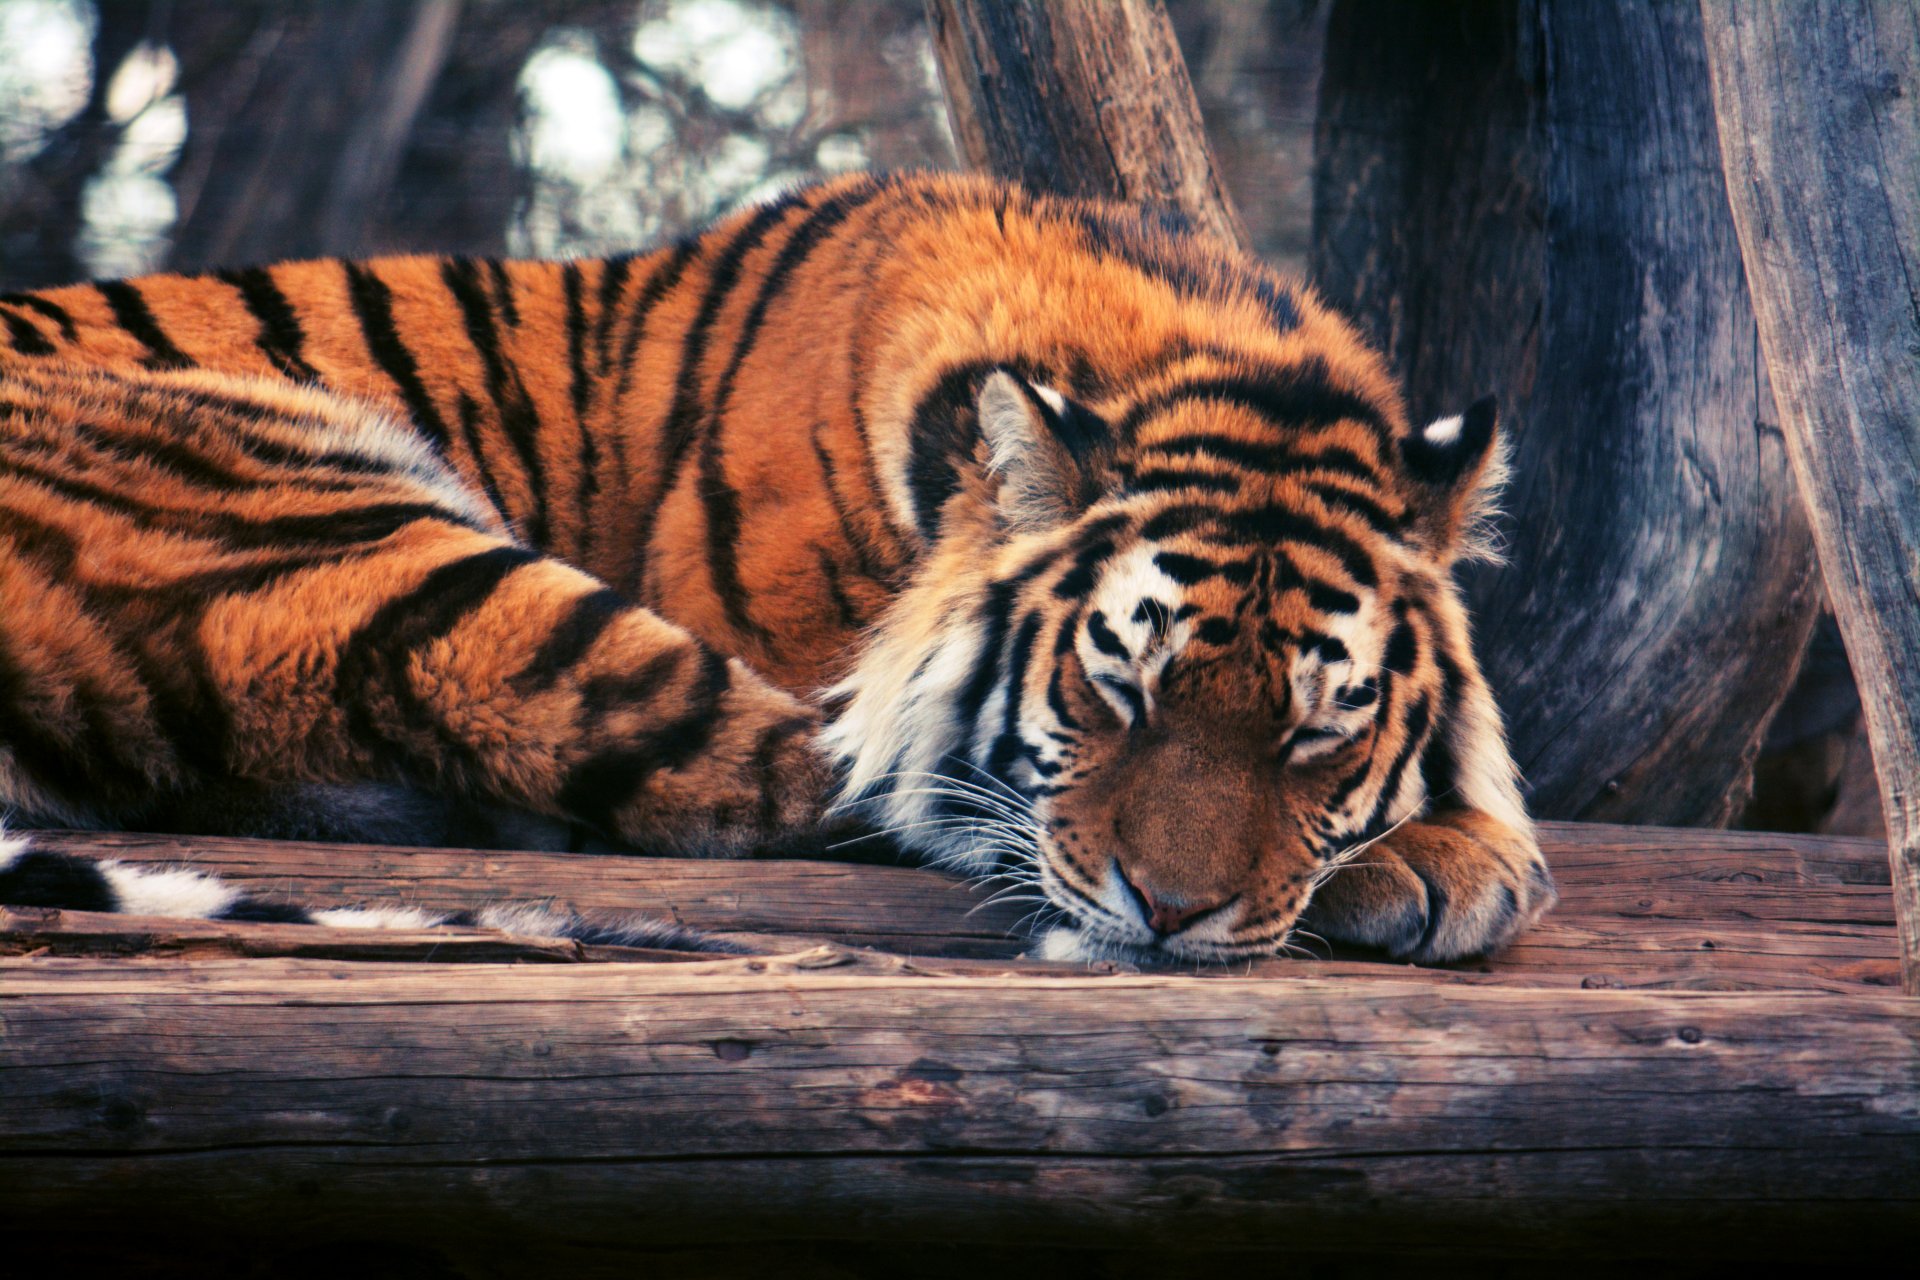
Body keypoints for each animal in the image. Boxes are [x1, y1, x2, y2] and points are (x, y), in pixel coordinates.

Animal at [0, 170, 1553, 964]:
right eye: (1117, 689)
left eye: (1317, 728)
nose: (1170, 918)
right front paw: (1447, 858)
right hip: (352, 530)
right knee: (786, 785)